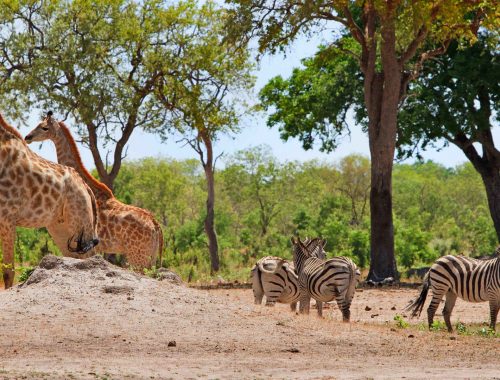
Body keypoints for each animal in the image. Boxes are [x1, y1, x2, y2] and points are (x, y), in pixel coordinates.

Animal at [0, 112, 99, 288]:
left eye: (45, 127)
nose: (28, 136)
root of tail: (87, 188)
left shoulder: (7, 218)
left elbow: (8, 271)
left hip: (81, 222)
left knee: (90, 258)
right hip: (60, 228)